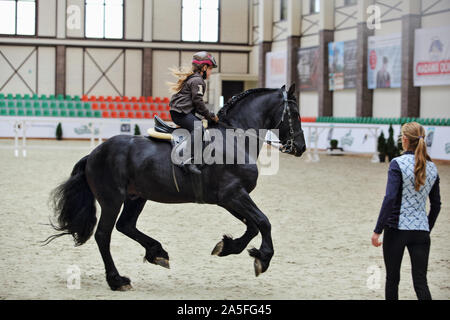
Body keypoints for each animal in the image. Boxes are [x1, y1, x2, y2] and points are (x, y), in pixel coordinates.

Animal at [47, 84, 306, 292]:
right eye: (294, 113)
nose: (301, 147)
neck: (236, 139)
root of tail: (94, 153)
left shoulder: (229, 199)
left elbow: (252, 226)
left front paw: (227, 247)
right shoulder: (233, 195)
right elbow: (263, 222)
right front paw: (263, 258)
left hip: (136, 197)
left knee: (126, 225)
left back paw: (157, 253)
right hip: (112, 200)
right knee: (104, 235)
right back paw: (117, 280)